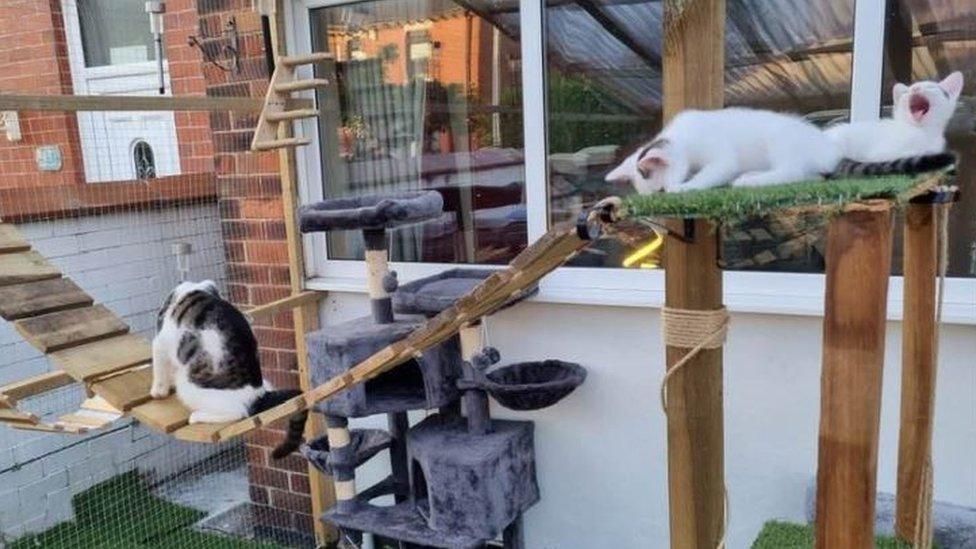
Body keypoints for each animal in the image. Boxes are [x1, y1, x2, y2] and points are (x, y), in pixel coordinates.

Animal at [152, 278, 308, 458]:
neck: (193, 290)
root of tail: (259, 396)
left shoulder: (161, 343)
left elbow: (159, 369)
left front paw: (158, 392)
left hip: (186, 385)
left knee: (238, 413)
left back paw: (197, 416)